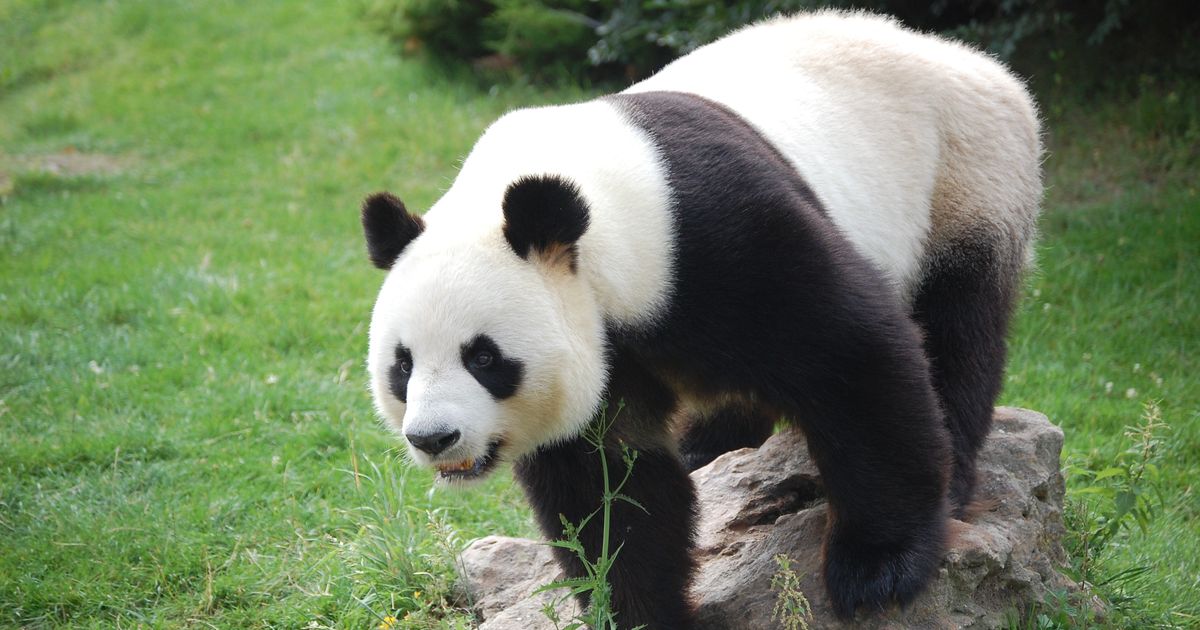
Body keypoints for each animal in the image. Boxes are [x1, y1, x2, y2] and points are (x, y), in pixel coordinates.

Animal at [361, 11, 1041, 628]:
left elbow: (852, 357)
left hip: (965, 176)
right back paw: (708, 447)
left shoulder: (712, 239)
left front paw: (876, 571)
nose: (433, 437)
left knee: (955, 329)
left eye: (484, 357)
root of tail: (961, 55)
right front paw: (640, 611)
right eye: (403, 366)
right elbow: (611, 486)